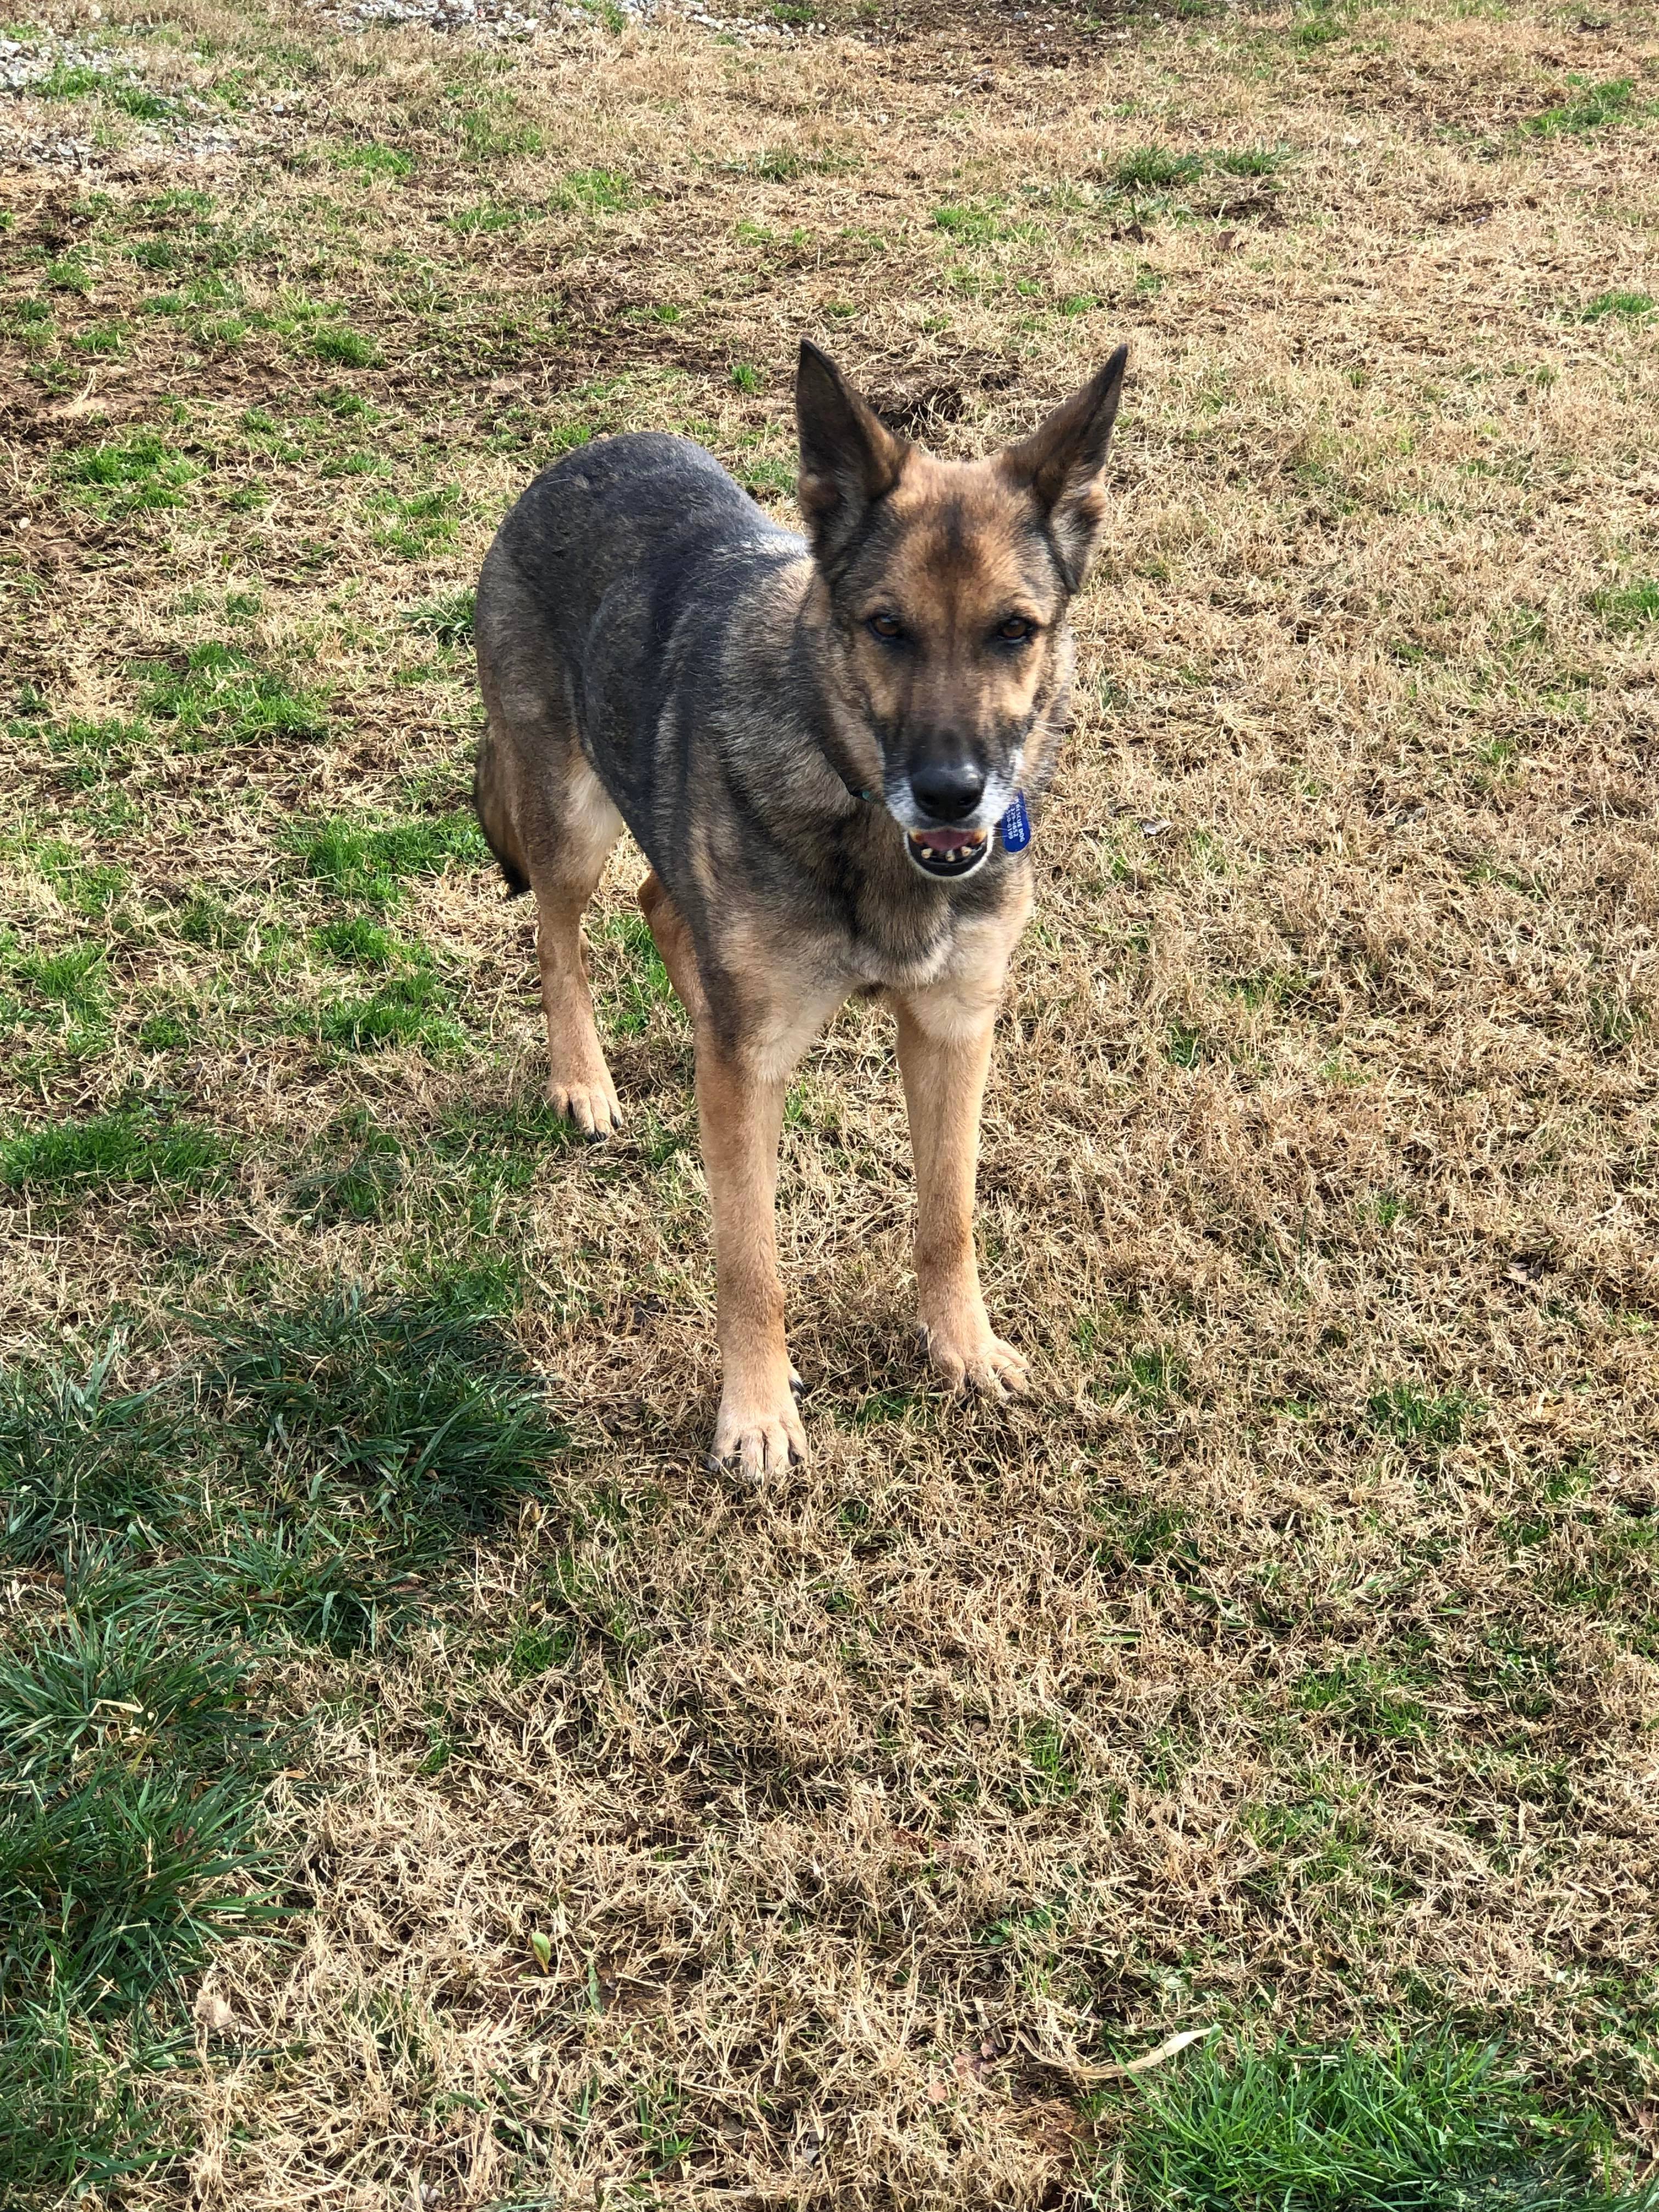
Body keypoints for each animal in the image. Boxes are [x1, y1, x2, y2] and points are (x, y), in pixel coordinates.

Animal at [473, 345, 1141, 1477]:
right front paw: (753, 1411)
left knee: (664, 904)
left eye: (1014, 631)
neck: (854, 800)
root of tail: (575, 461)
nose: (953, 795)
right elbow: (748, 1258)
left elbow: (948, 1211)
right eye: (886, 628)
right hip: (570, 818)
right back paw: (581, 1079)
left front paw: (963, 1346)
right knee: (559, 938)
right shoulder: (750, 1082)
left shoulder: (952, 1030)